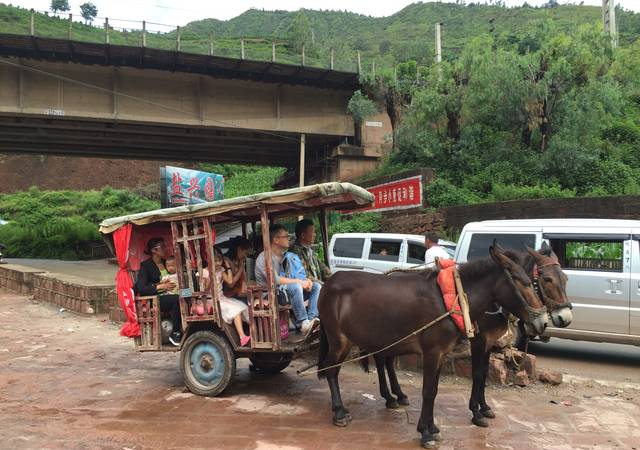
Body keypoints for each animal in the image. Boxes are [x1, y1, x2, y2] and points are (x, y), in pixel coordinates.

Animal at [318, 244, 548, 448]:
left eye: (532, 281)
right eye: (523, 282)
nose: (543, 322)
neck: (451, 299)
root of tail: (328, 283)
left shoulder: (442, 353)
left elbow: (434, 390)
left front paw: (432, 427)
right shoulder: (432, 352)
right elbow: (428, 391)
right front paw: (426, 433)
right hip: (339, 340)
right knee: (331, 370)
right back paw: (339, 412)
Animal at [368, 243, 572, 428]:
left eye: (565, 278)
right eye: (547, 279)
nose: (565, 318)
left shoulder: (490, 342)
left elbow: (484, 374)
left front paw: (485, 407)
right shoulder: (479, 341)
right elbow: (477, 374)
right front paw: (476, 412)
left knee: (387, 360)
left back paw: (398, 395)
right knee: (381, 359)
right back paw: (390, 397)